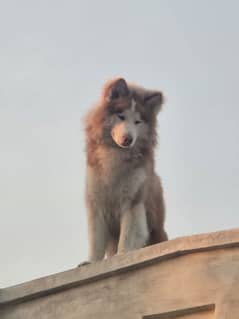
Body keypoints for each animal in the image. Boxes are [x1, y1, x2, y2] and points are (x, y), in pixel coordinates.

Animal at [84, 78, 168, 262]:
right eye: (121, 116)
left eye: (138, 122)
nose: (127, 139)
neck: (116, 156)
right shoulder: (97, 203)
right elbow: (96, 240)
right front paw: (90, 262)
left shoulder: (133, 201)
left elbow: (128, 235)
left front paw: (123, 255)